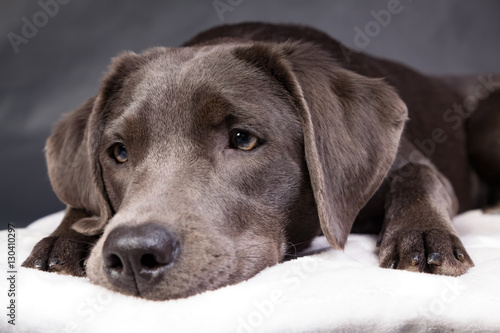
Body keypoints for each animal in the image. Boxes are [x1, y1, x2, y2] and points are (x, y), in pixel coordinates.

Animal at [21, 22, 498, 300]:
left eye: (243, 140)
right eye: (118, 152)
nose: (134, 254)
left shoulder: (409, 161)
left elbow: (422, 178)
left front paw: (423, 239)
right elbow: (82, 205)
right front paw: (64, 240)